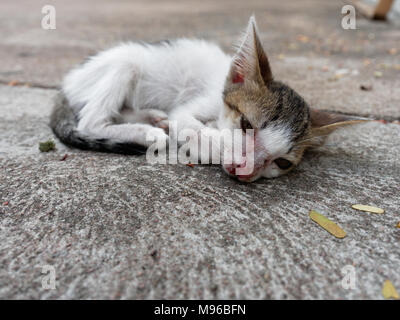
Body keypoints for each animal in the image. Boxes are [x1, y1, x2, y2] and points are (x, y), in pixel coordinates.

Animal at [50, 16, 366, 182]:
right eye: (246, 124)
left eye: (282, 163)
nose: (246, 172)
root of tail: (67, 83)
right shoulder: (193, 105)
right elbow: (197, 128)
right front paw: (214, 145)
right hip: (124, 65)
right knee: (91, 120)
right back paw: (148, 132)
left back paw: (152, 118)